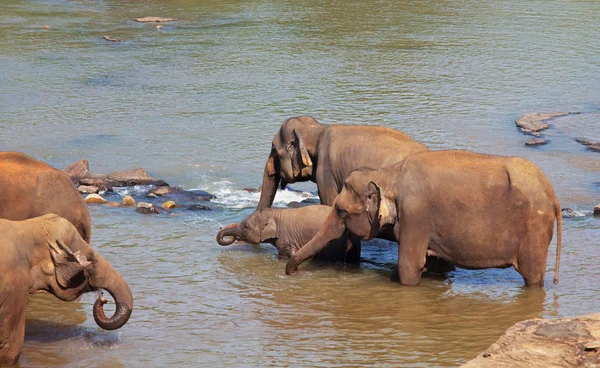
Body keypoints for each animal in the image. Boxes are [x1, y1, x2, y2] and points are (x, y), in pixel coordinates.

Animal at [286, 150, 564, 288]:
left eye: (341, 211)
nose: (292, 273)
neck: (388, 174)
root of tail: (552, 193)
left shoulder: (415, 214)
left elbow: (409, 267)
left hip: (535, 228)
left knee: (532, 276)